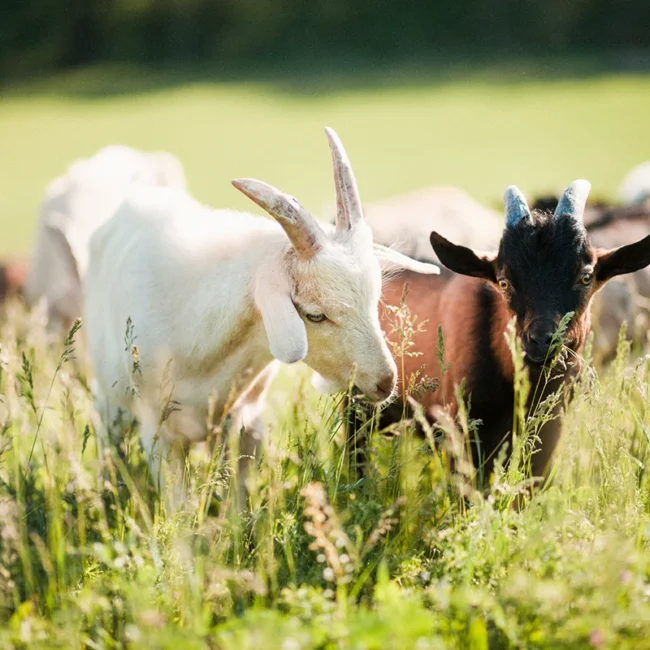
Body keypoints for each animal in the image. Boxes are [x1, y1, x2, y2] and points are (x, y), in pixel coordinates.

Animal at [84, 128, 439, 505]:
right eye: (315, 315)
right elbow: (179, 508)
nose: (385, 381)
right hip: (109, 402)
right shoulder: (160, 433)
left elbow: (239, 504)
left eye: (374, 299)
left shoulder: (246, 422)